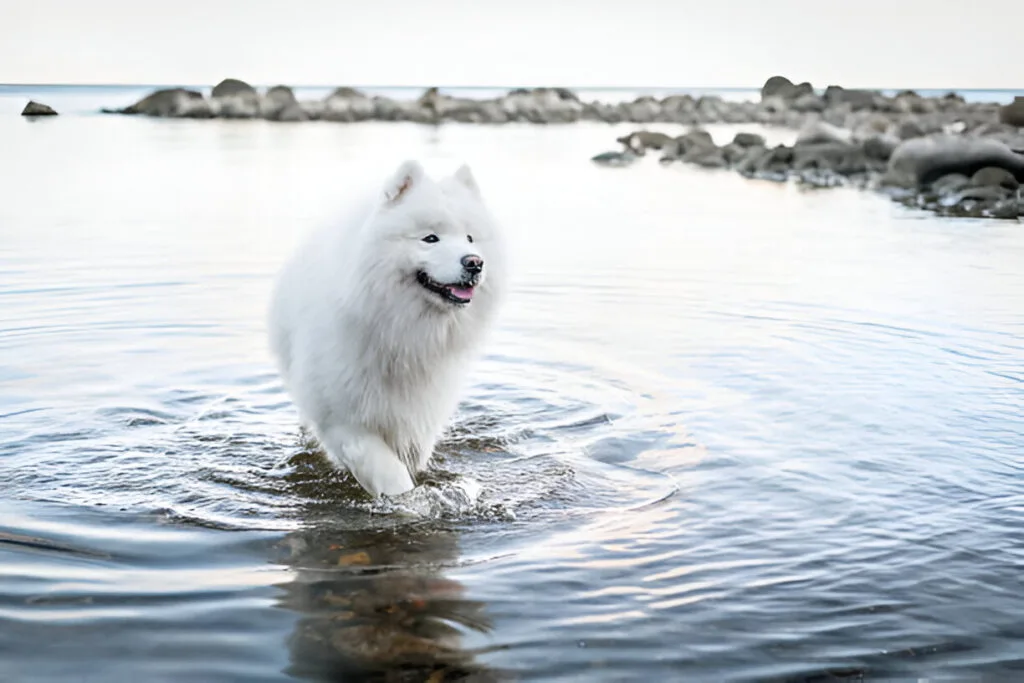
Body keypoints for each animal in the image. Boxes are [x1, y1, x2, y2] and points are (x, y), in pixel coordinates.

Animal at [264, 162, 503, 499]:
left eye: (470, 238)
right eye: (430, 238)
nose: (474, 262)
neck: (402, 328)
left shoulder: (421, 410)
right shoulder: (342, 415)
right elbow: (386, 469)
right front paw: (409, 501)